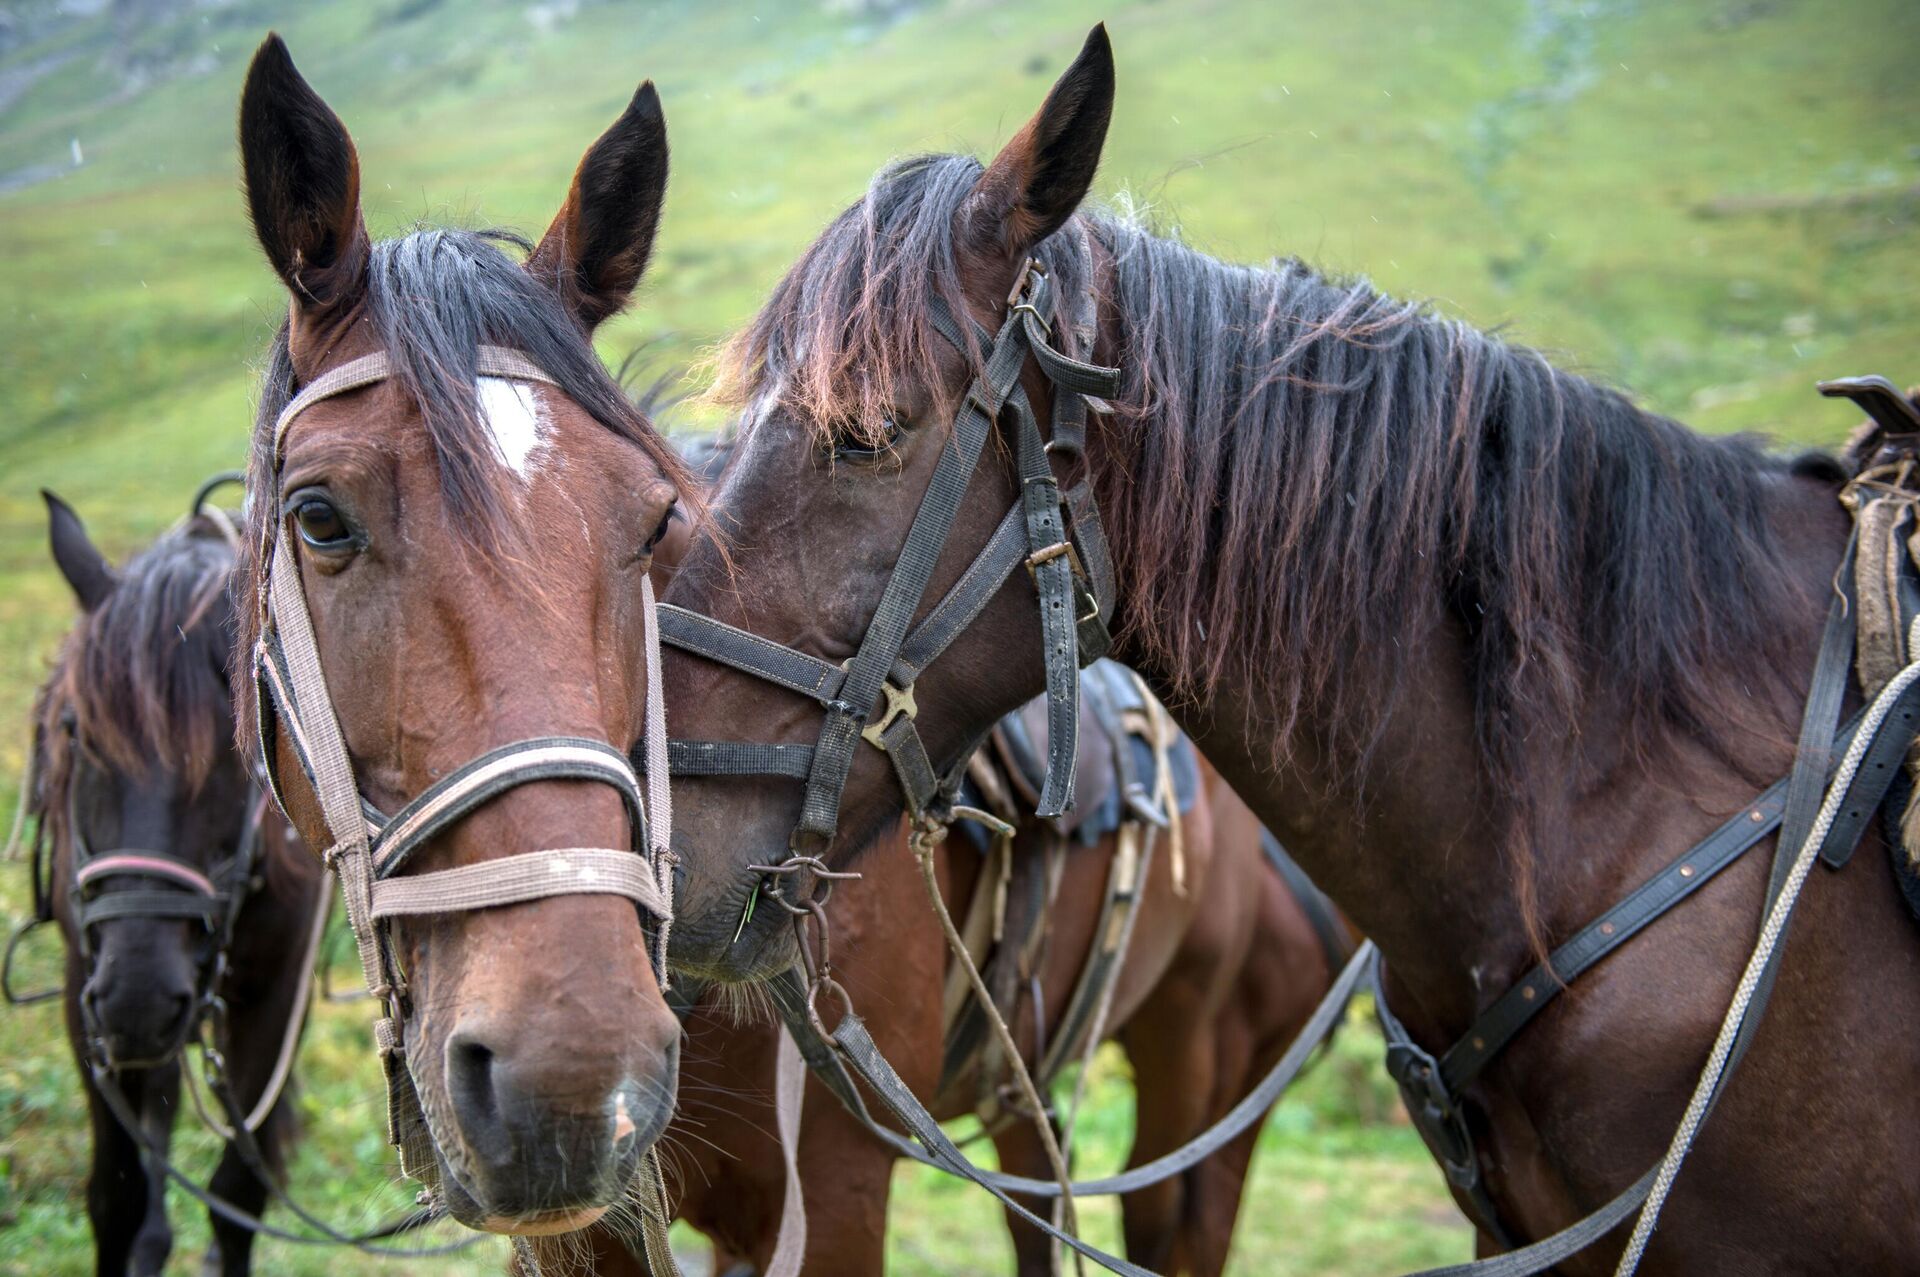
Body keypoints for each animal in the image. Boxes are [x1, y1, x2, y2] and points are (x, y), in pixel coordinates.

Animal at [23, 491, 322, 1267]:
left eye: (236, 748)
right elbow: (116, 1194)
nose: (139, 995)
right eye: (76, 732)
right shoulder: (86, 990)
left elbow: (236, 1196)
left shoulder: (274, 995)